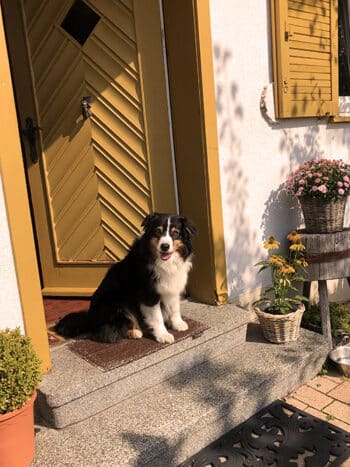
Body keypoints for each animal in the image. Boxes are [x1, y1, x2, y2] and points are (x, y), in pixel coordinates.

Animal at [55, 214, 197, 346]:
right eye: (158, 231)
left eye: (175, 233)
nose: (165, 246)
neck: (163, 261)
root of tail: (90, 318)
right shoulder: (148, 294)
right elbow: (157, 317)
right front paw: (163, 335)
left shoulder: (172, 286)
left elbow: (174, 307)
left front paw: (178, 324)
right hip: (116, 302)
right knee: (105, 333)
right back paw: (135, 332)